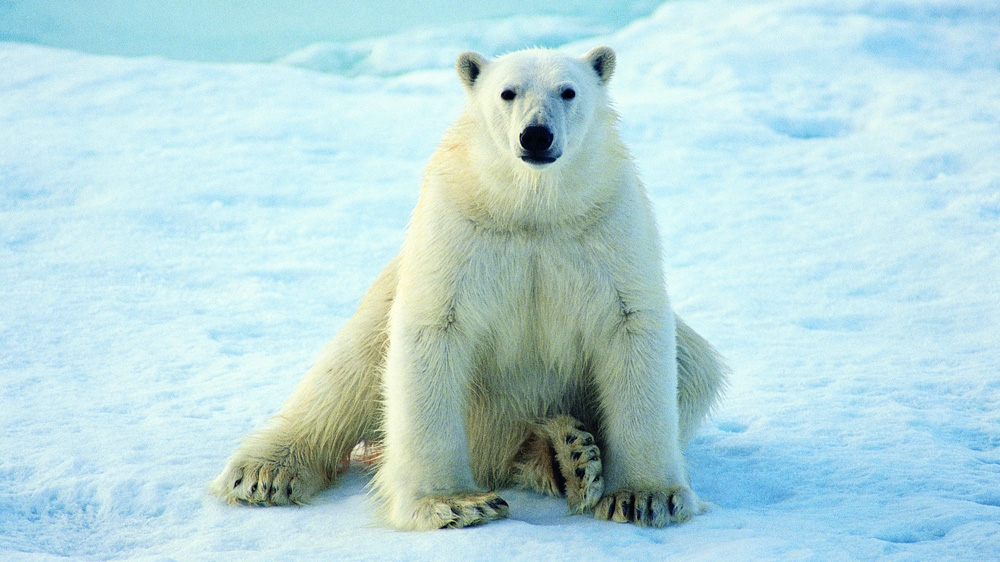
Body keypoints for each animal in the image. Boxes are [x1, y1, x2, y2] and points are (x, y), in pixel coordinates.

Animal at [212, 46, 727, 531]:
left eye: (568, 91)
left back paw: (568, 455)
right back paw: (264, 472)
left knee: (695, 365)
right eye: (507, 92)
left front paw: (645, 497)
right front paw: (454, 504)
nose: (536, 135)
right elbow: (433, 332)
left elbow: (631, 328)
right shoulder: (459, 228)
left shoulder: (607, 226)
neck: (532, 209)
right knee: (345, 373)